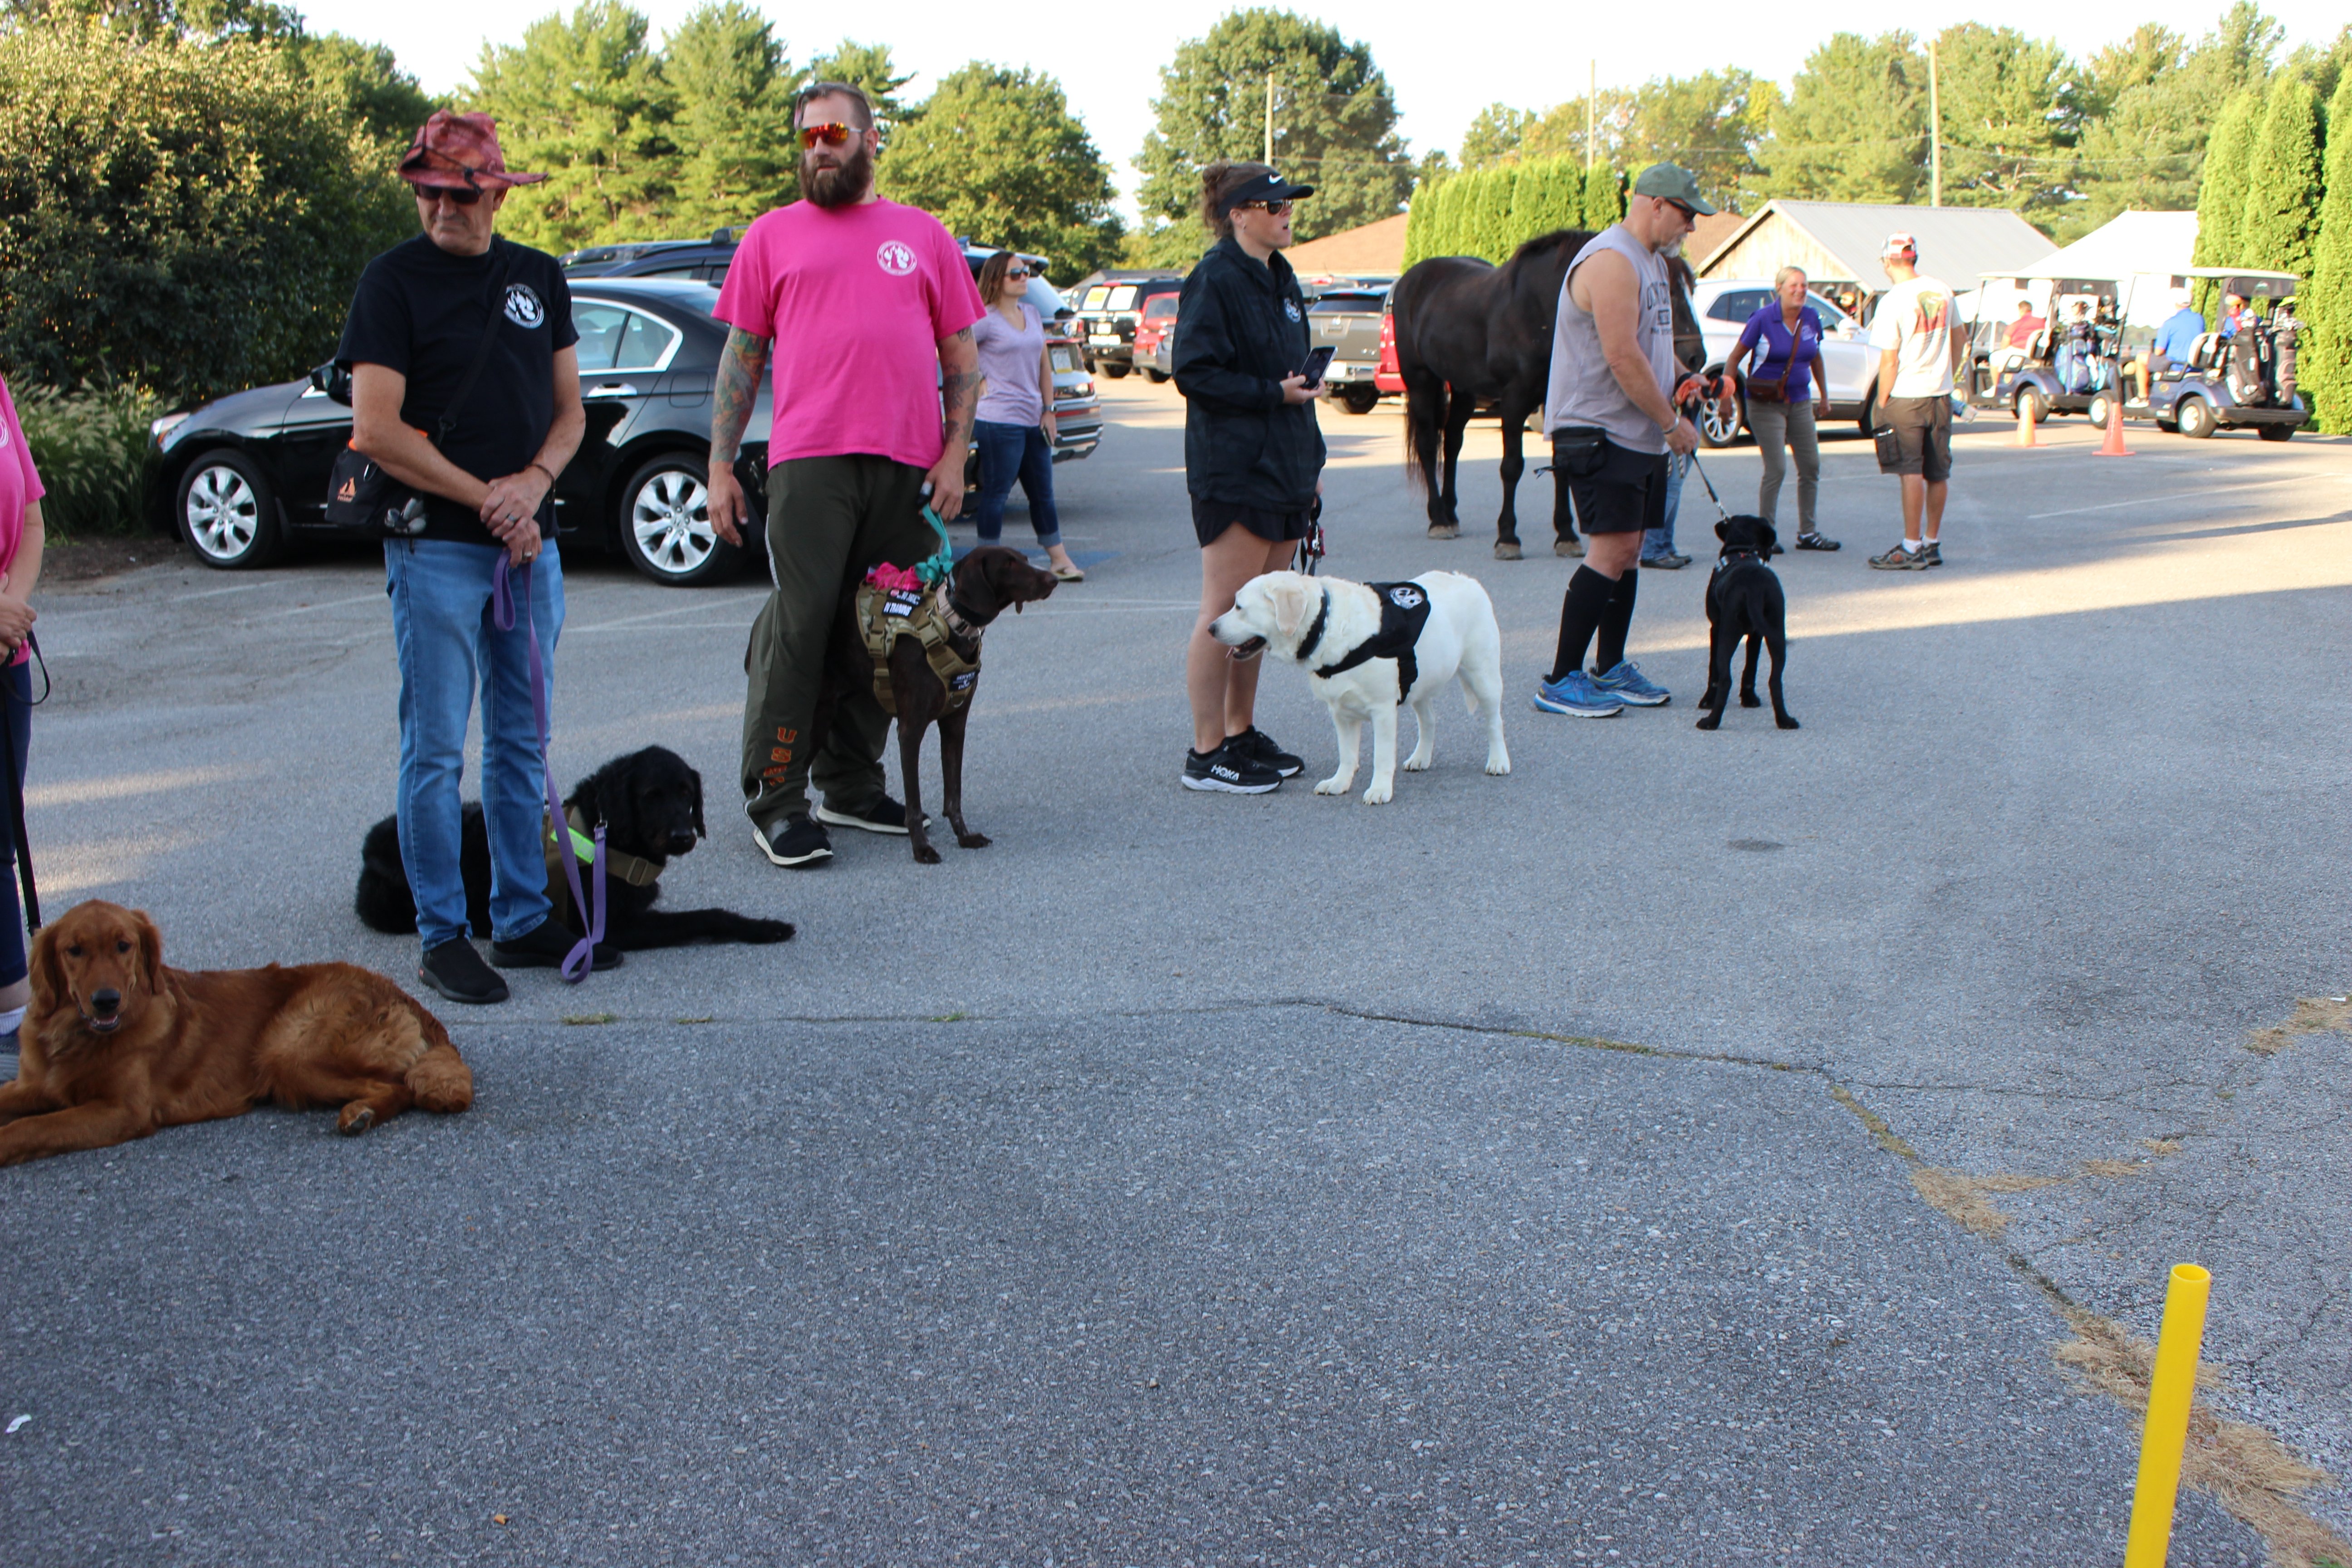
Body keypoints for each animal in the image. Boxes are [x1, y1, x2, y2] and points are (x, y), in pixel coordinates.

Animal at [348, 747, 790, 950]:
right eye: (651, 797)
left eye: (686, 793)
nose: (684, 835)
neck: (607, 834)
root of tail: (372, 842)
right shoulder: (612, 926)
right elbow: (701, 917)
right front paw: (762, 927)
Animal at [1213, 566, 1505, 808]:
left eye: (1239, 607)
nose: (1210, 628)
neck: (1324, 624)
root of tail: (1468, 580)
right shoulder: (1340, 712)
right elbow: (1346, 754)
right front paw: (1339, 783)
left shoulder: (1383, 710)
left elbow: (1382, 756)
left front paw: (1379, 790)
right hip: (1420, 680)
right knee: (1429, 720)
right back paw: (1421, 757)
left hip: (1483, 676)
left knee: (1494, 722)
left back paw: (1499, 761)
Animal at [1392, 230, 1712, 554]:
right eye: (1666, 291)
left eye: (1692, 288)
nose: (1696, 358)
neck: (1540, 312)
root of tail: (1409, 280)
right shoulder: (1514, 401)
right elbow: (1512, 467)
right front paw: (1508, 537)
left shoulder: (1557, 403)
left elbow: (1563, 467)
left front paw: (1567, 535)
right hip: (1420, 381)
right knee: (1429, 446)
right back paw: (1438, 520)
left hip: (1463, 389)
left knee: (1453, 442)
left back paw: (1451, 514)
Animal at [1693, 517, 1797, 733]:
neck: (1741, 550)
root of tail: (1754, 588)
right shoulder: (1757, 634)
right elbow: (1751, 667)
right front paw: (1749, 699)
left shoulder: (1715, 627)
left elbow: (1713, 670)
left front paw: (1708, 700)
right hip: (1776, 632)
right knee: (1775, 680)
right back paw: (1785, 720)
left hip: (1728, 633)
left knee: (1724, 679)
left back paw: (1710, 721)